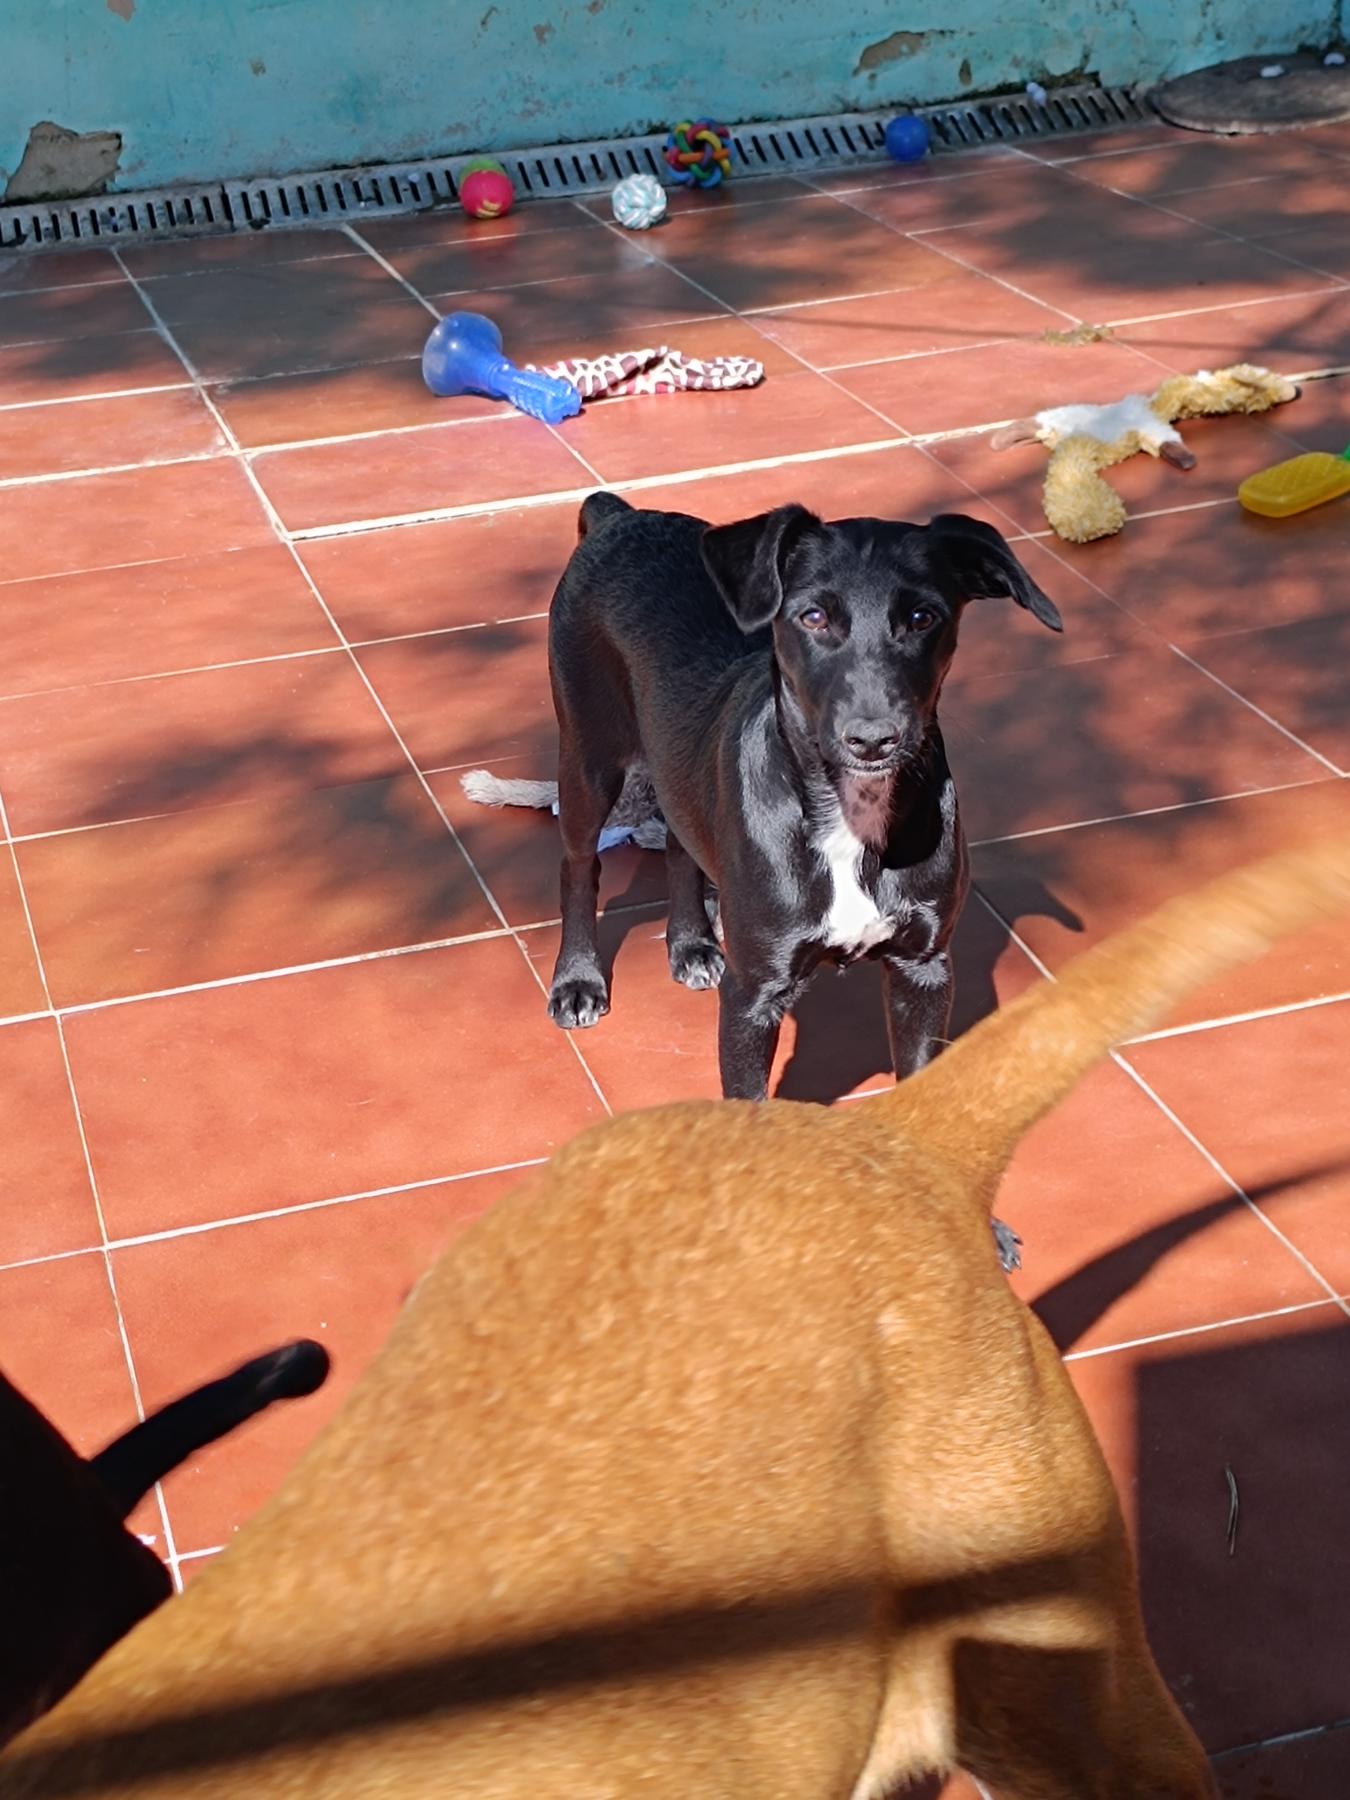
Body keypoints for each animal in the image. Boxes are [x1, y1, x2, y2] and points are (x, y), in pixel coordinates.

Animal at [544, 493, 1063, 1101]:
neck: (851, 818)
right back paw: (577, 978)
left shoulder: (924, 970)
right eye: (813, 616)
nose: (874, 739)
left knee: (680, 840)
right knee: (578, 866)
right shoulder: (752, 994)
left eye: (923, 618)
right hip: (589, 757)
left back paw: (691, 943)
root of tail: (623, 515)